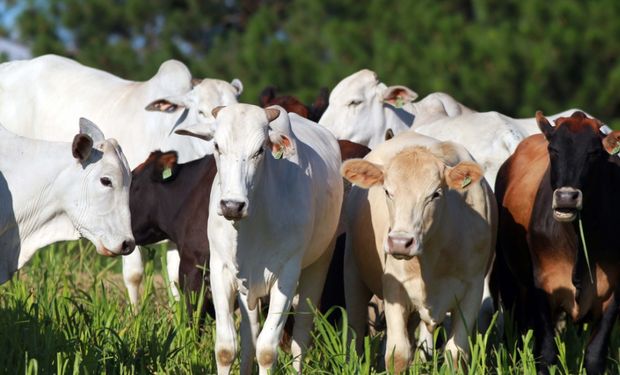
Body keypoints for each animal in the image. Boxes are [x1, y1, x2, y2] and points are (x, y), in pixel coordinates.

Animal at [174, 103, 344, 375]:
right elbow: (226, 348)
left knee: (300, 335)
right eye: (217, 146)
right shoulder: (221, 270)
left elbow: (266, 350)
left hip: (319, 263)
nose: (232, 205)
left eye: (259, 150)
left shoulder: (286, 274)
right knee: (249, 335)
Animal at [342, 132, 496, 374]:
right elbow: (397, 354)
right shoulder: (394, 287)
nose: (400, 242)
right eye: (387, 191)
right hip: (353, 272)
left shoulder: (473, 289)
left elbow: (456, 353)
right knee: (356, 328)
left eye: (435, 194)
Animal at [492, 111, 620, 375]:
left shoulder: (612, 292)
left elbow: (595, 356)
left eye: (594, 152)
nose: (566, 197)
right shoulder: (544, 286)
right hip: (509, 281)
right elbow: (547, 352)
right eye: (553, 149)